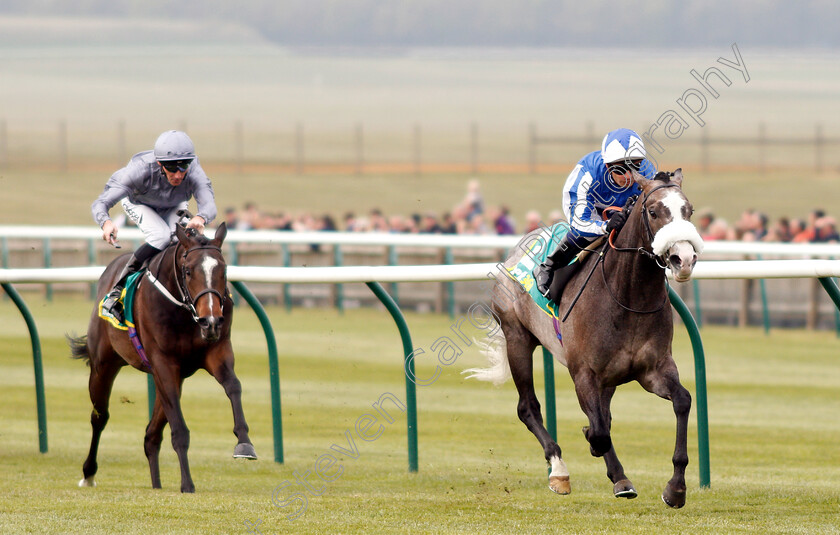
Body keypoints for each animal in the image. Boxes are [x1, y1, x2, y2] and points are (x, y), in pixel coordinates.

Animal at [68, 222, 256, 494]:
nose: (211, 321)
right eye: (188, 271)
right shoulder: (163, 362)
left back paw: (156, 484)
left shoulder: (216, 352)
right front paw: (187, 483)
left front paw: (244, 443)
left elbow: (233, 386)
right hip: (104, 364)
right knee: (100, 416)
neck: (184, 312)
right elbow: (179, 429)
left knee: (151, 435)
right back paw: (89, 474)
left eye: (224, 270)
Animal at [466, 170, 704, 508]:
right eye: (654, 211)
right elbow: (599, 431)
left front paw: (676, 488)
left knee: (604, 414)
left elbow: (682, 400)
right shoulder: (583, 373)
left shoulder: (653, 369)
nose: (683, 258)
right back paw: (560, 471)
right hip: (517, 338)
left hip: (608, 377)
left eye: (689, 210)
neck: (628, 295)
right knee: (528, 407)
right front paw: (595, 448)